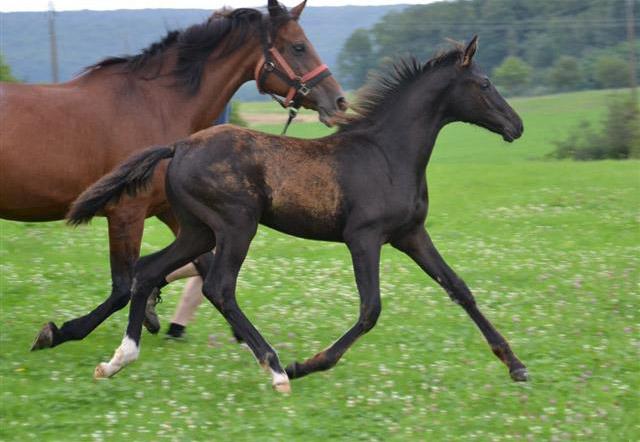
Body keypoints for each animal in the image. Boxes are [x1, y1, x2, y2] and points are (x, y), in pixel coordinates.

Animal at [0, 1, 346, 350]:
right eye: (298, 46)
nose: (339, 101)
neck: (158, 105)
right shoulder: (127, 213)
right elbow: (123, 287)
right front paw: (58, 332)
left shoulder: (174, 211)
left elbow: (198, 265)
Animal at [67, 36, 528, 393]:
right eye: (485, 84)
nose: (517, 126)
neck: (388, 155)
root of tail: (179, 146)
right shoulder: (364, 237)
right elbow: (370, 309)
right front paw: (306, 365)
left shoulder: (411, 234)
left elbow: (459, 288)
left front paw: (516, 365)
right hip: (236, 225)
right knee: (219, 286)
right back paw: (275, 369)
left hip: (199, 230)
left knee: (147, 270)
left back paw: (118, 359)